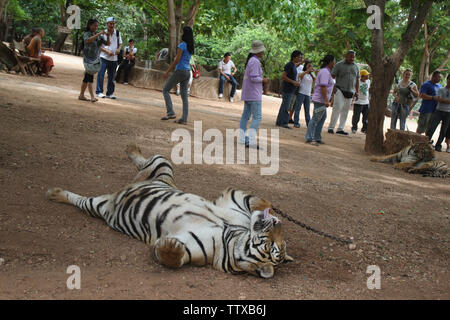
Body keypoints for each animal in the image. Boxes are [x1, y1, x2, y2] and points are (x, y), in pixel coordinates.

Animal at [45, 142, 292, 278]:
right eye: (274, 244)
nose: (278, 224)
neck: (231, 235)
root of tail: (127, 186)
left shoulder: (193, 248)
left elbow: (173, 257)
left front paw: (167, 245)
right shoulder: (232, 201)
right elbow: (260, 202)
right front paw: (271, 212)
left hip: (99, 205)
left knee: (80, 200)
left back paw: (54, 193)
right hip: (163, 164)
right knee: (144, 160)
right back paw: (132, 147)